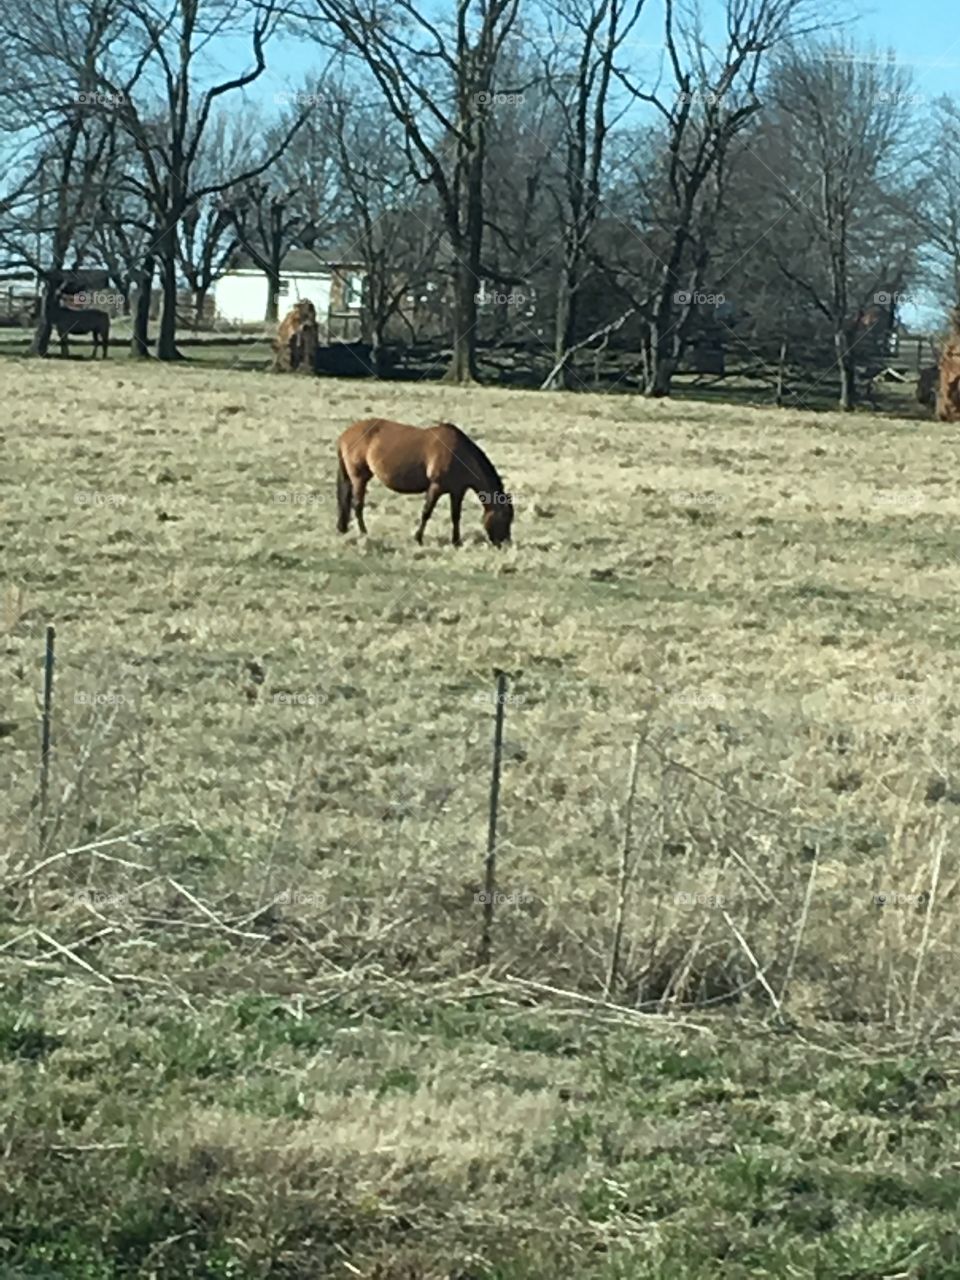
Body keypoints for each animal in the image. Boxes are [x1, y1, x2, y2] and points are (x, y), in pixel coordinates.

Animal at [336, 418, 514, 547]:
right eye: (505, 517)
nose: (504, 544)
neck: (459, 455)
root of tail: (345, 434)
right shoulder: (436, 487)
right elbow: (426, 512)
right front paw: (418, 538)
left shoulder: (457, 491)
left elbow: (455, 516)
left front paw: (456, 542)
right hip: (359, 478)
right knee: (358, 505)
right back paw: (363, 533)